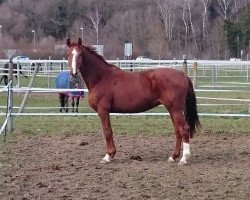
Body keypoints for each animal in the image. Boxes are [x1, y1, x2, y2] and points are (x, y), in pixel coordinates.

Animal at [66, 38, 201, 166]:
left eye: (79, 54)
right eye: (68, 54)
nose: (73, 74)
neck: (101, 78)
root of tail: (183, 75)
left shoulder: (103, 111)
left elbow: (107, 131)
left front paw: (108, 156)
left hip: (176, 110)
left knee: (184, 129)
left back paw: (184, 159)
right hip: (172, 110)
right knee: (178, 131)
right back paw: (173, 157)